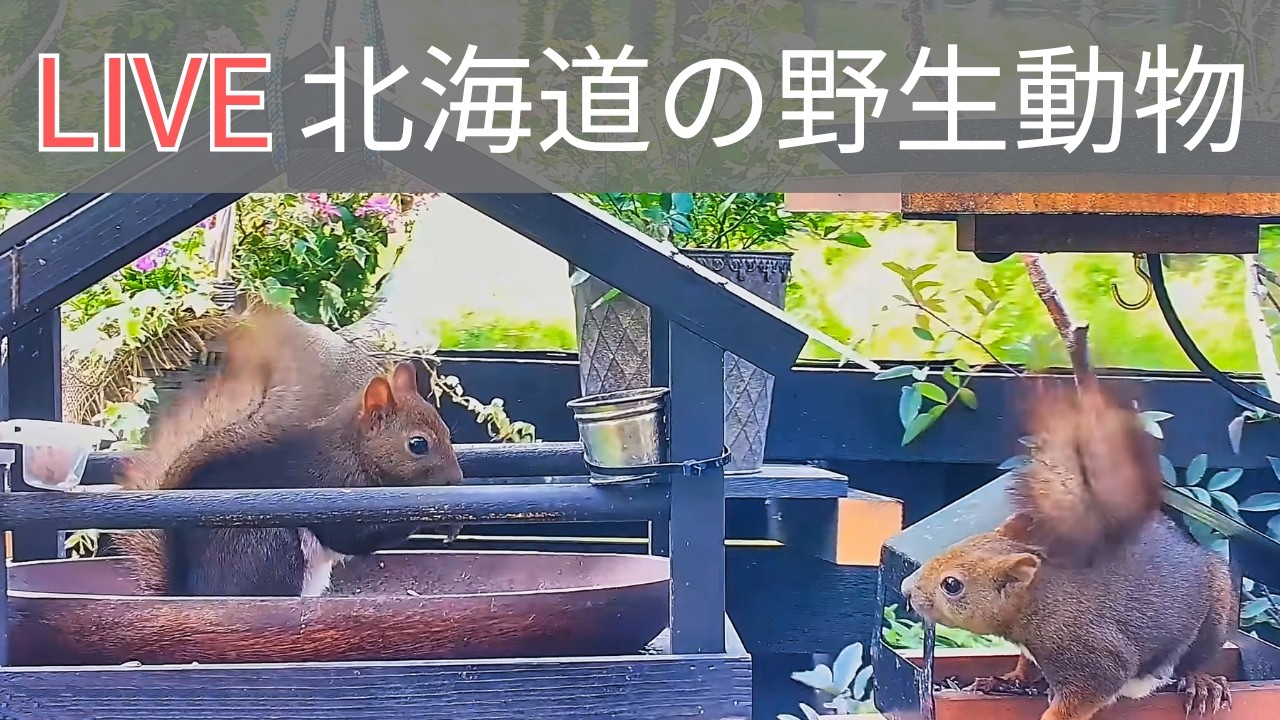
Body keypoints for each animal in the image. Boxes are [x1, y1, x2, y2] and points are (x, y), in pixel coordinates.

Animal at [111, 305, 464, 597]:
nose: (456, 482)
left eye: (448, 432)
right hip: (270, 546)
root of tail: (190, 593)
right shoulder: (333, 486)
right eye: (418, 444)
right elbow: (353, 535)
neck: (355, 450)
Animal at [900, 380, 1236, 720]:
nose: (905, 589)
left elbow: (1085, 695)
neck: (1039, 600)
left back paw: (1201, 682)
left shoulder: (1091, 654)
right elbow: (1026, 664)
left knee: (1196, 659)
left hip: (1214, 610)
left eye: (952, 585)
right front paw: (1009, 679)